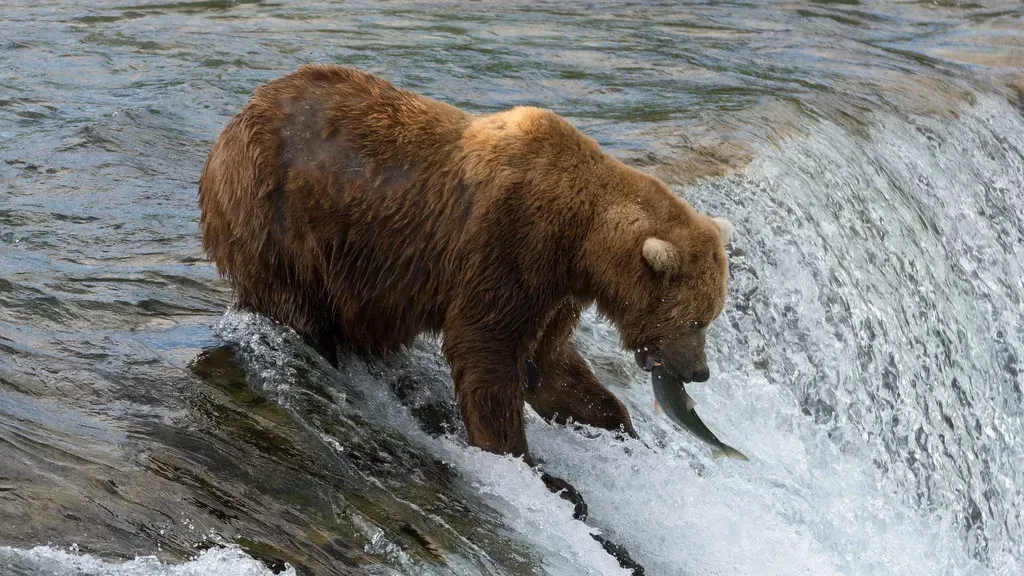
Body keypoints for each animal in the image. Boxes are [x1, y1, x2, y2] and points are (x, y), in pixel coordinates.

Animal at [198, 64, 732, 468]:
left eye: (710, 316)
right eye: (697, 320)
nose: (701, 371)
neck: (582, 240)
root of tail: (232, 124)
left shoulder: (556, 287)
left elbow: (551, 365)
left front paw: (615, 422)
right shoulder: (512, 243)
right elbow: (486, 350)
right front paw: (524, 460)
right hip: (279, 216)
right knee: (296, 305)